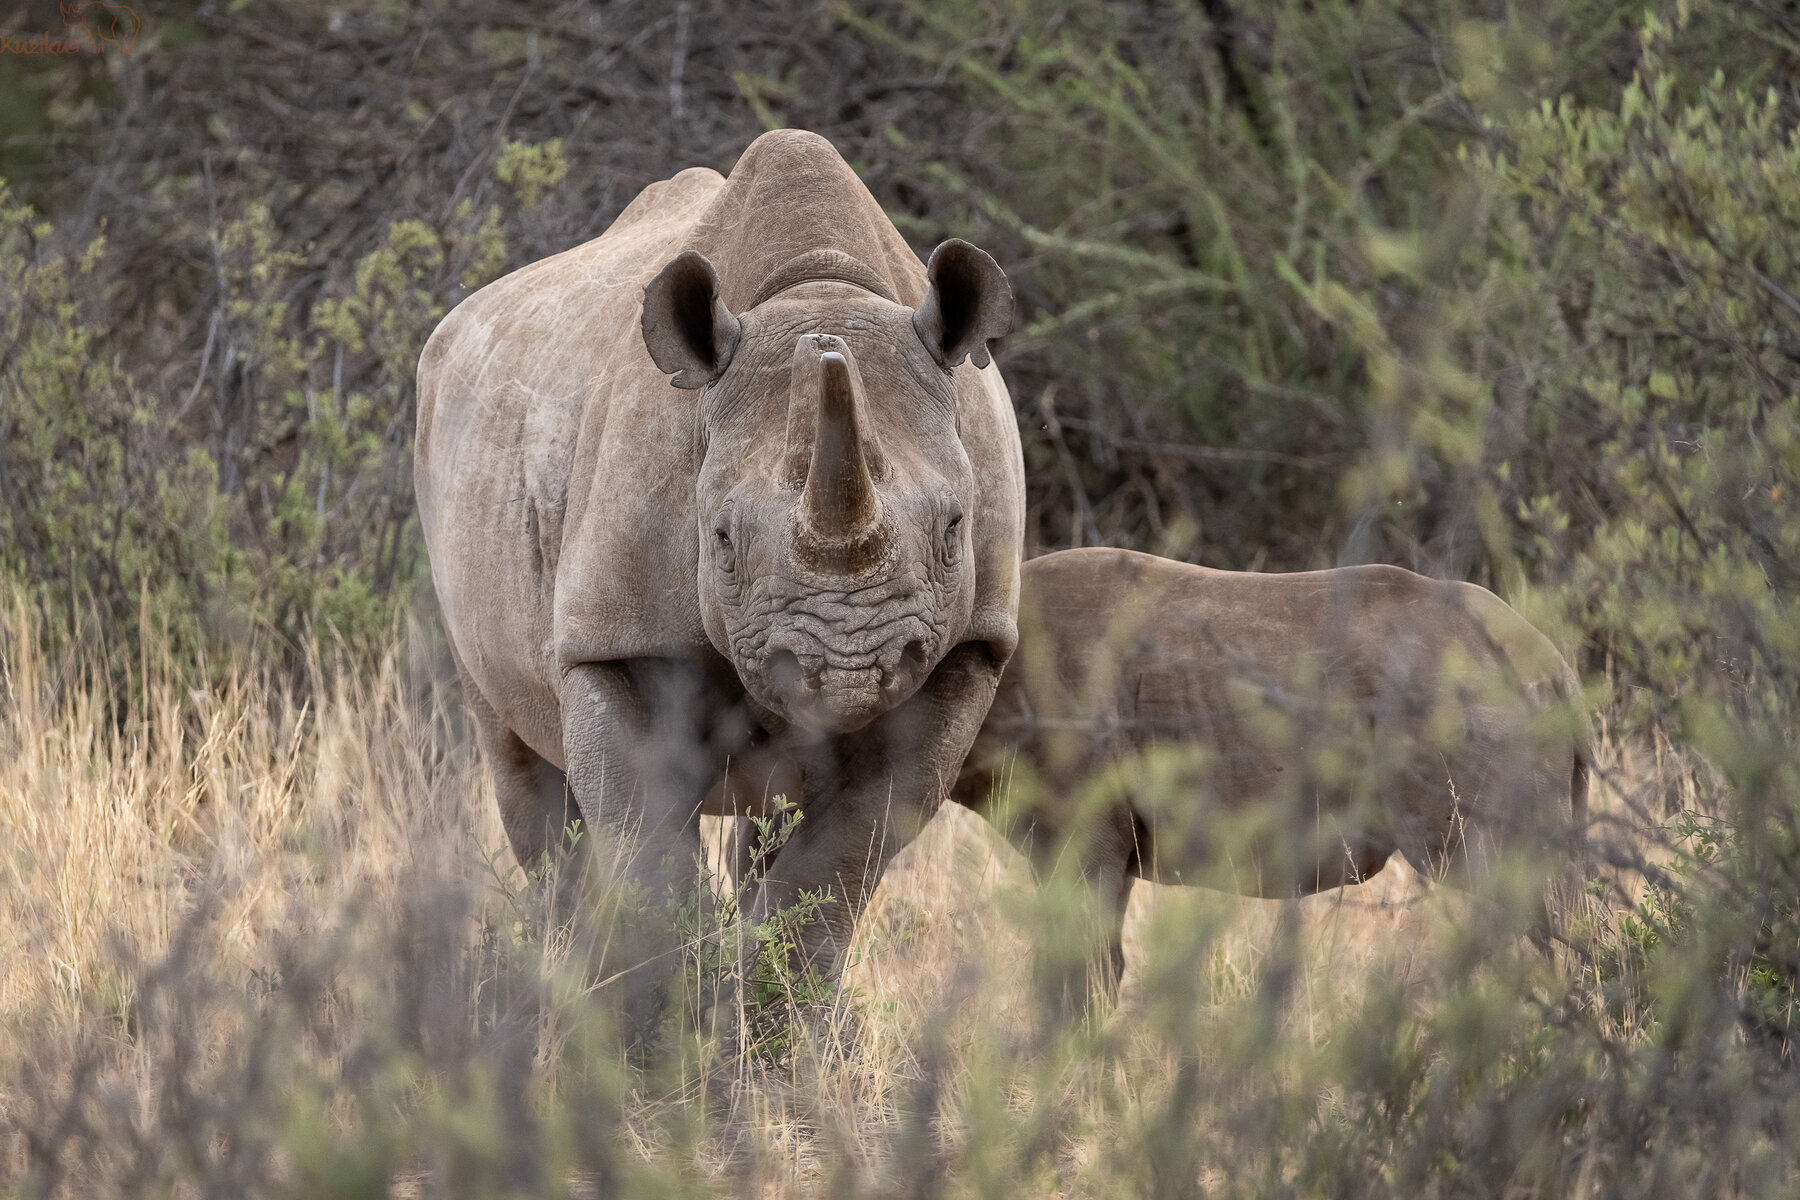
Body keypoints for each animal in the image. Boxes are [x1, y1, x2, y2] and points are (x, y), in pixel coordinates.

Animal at [414, 130, 1023, 1022]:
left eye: (954, 531)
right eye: (723, 541)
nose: (849, 669)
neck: (819, 287)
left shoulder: (968, 649)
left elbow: (844, 858)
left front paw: (777, 1025)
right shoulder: (613, 640)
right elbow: (648, 855)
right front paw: (676, 1030)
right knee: (521, 764)